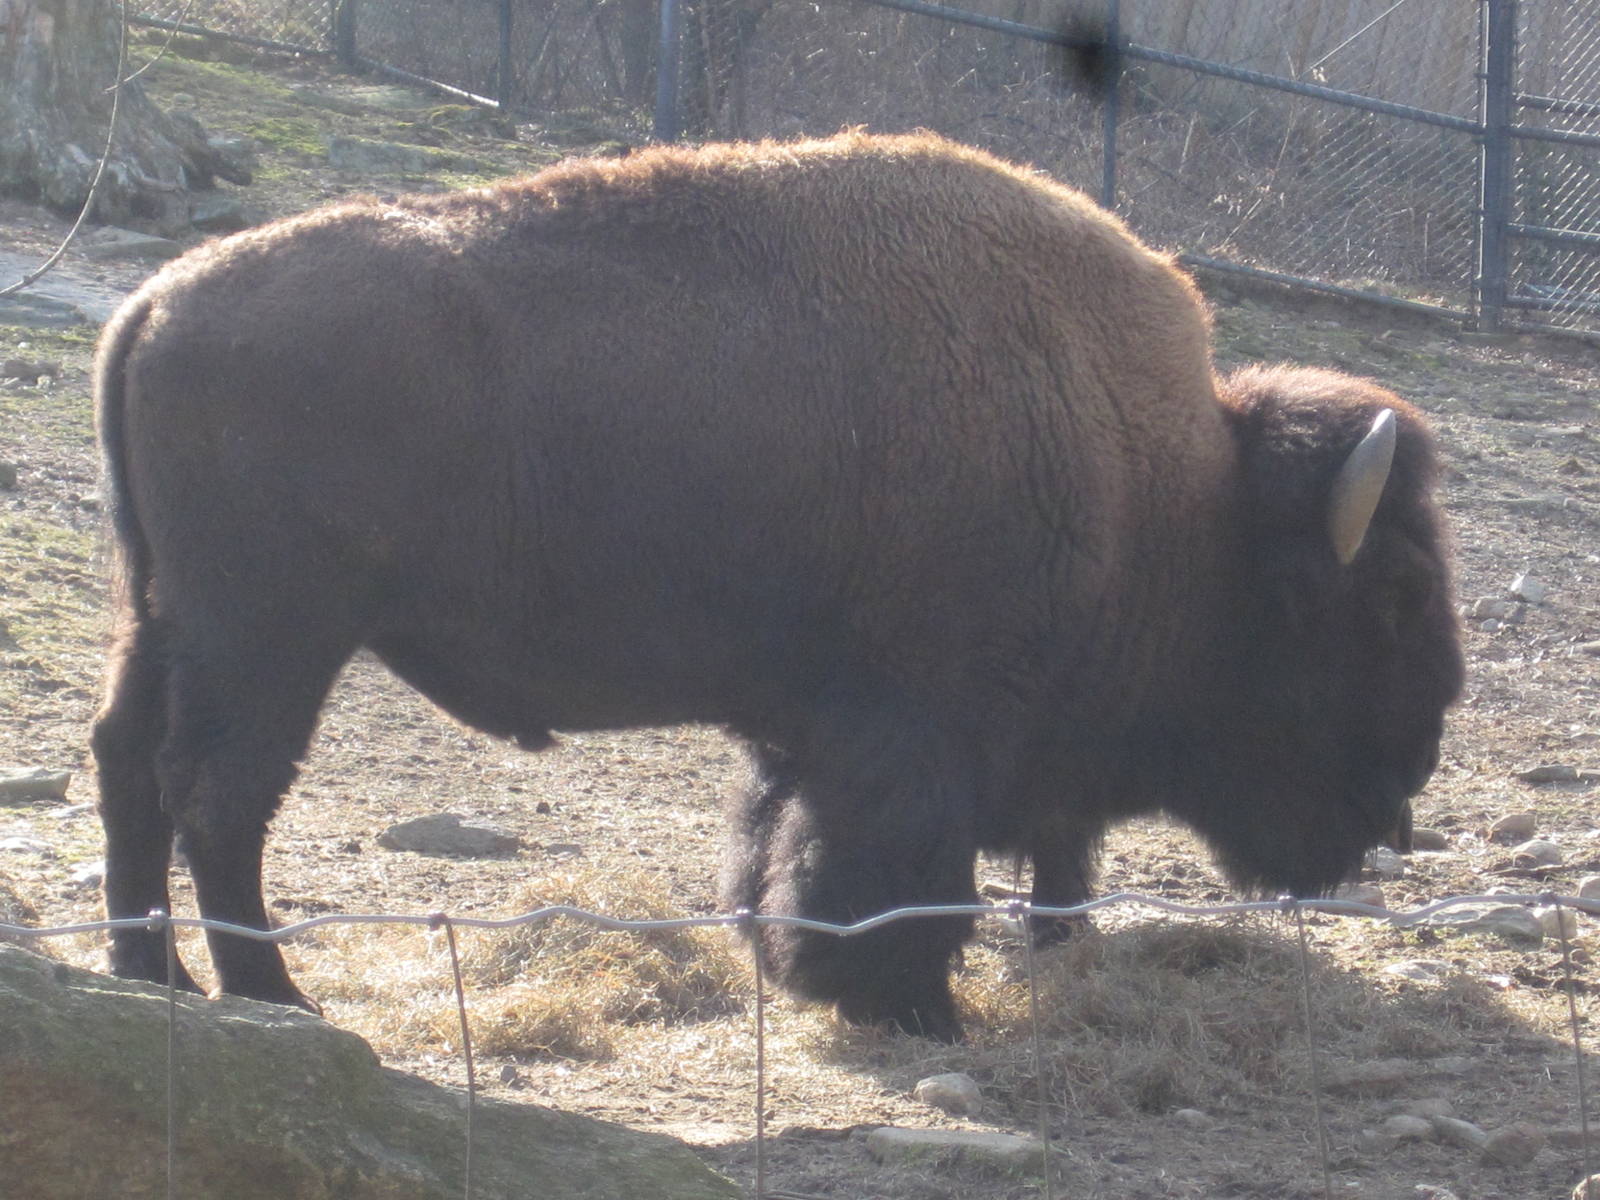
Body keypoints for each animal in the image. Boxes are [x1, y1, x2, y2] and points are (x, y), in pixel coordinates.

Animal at [92, 131, 1462, 1040]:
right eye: (1390, 597)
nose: (1410, 777)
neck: (1163, 487)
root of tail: (157, 299)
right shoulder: (918, 735)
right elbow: (886, 873)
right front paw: (904, 1005)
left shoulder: (811, 732)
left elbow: (779, 844)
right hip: (273, 636)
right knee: (217, 792)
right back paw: (277, 1000)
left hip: (165, 614)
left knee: (128, 761)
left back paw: (152, 979)